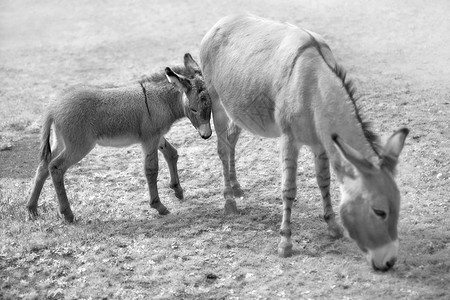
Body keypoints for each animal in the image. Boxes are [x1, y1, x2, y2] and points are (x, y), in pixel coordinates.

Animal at [27, 54, 212, 223]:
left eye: (210, 105)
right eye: (194, 109)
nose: (207, 135)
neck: (160, 100)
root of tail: (53, 107)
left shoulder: (157, 136)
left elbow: (172, 153)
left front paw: (177, 190)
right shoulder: (150, 139)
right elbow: (151, 170)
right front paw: (158, 206)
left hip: (60, 142)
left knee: (43, 166)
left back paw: (32, 209)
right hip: (79, 146)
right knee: (55, 167)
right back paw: (67, 214)